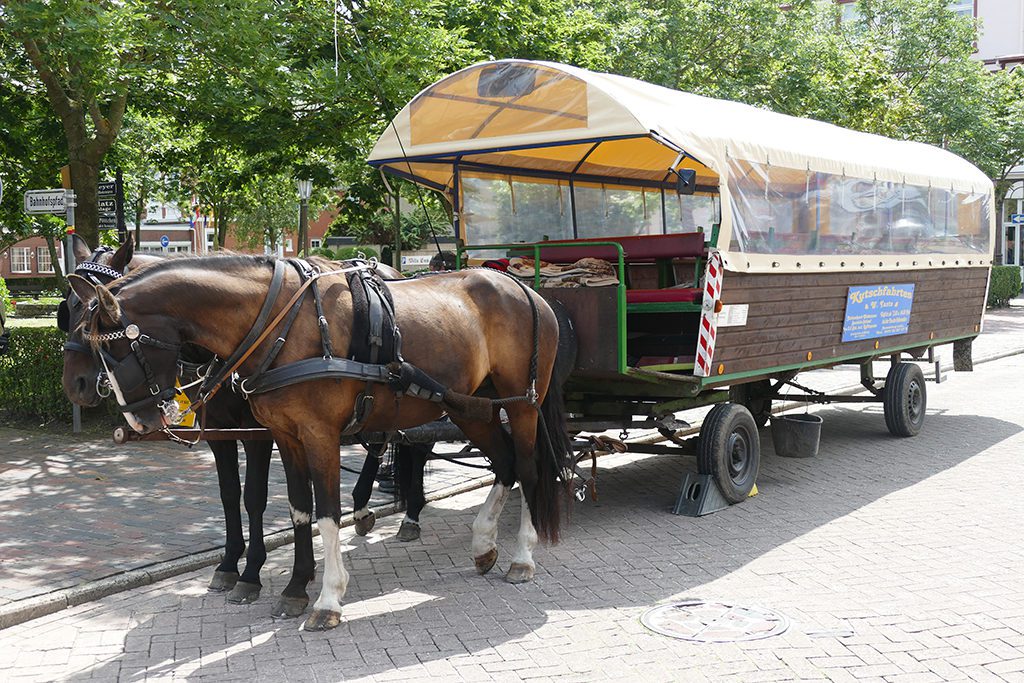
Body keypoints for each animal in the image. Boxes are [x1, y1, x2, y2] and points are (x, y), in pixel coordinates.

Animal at [65, 254, 573, 630]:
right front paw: (293, 588)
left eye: (113, 347)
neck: (277, 323)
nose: (136, 419)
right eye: (67, 315)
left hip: (523, 405)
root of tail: (527, 291)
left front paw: (327, 600)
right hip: (472, 405)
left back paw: (521, 558)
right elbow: (297, 511)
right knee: (505, 465)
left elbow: (326, 512)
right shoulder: (286, 435)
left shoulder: (317, 434)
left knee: (529, 469)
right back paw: (483, 544)